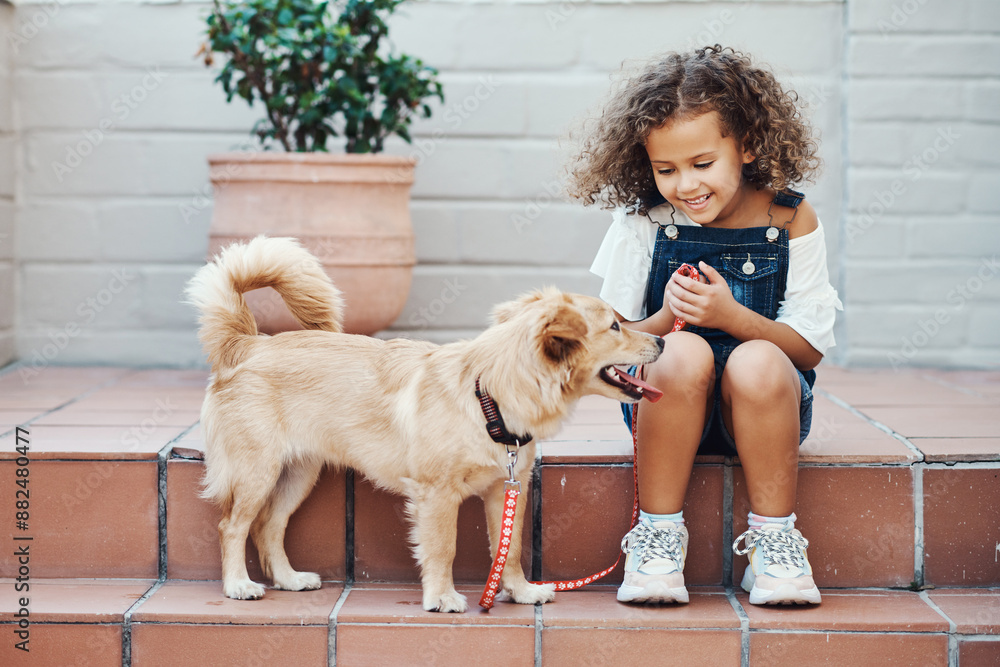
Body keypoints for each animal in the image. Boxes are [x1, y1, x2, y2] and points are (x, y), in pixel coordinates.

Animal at [186, 237, 664, 612]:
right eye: (615, 325)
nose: (661, 339)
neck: (487, 396)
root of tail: (245, 343)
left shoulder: (505, 489)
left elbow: (508, 549)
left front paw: (520, 591)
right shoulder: (437, 496)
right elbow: (443, 548)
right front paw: (442, 597)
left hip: (297, 474)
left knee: (268, 526)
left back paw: (287, 579)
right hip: (258, 472)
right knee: (233, 526)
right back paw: (238, 585)